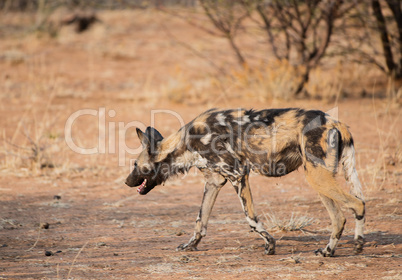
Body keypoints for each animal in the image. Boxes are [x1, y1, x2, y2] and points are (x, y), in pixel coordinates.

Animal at [125, 108, 364, 258]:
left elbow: (250, 218)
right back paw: (328, 252)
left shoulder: (238, 175)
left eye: (135, 164)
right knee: (339, 217)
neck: (184, 145)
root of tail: (336, 122)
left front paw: (270, 245)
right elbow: (200, 221)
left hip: (317, 177)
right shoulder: (214, 183)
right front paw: (190, 246)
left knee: (358, 204)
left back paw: (358, 244)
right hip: (318, 178)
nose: (127, 182)